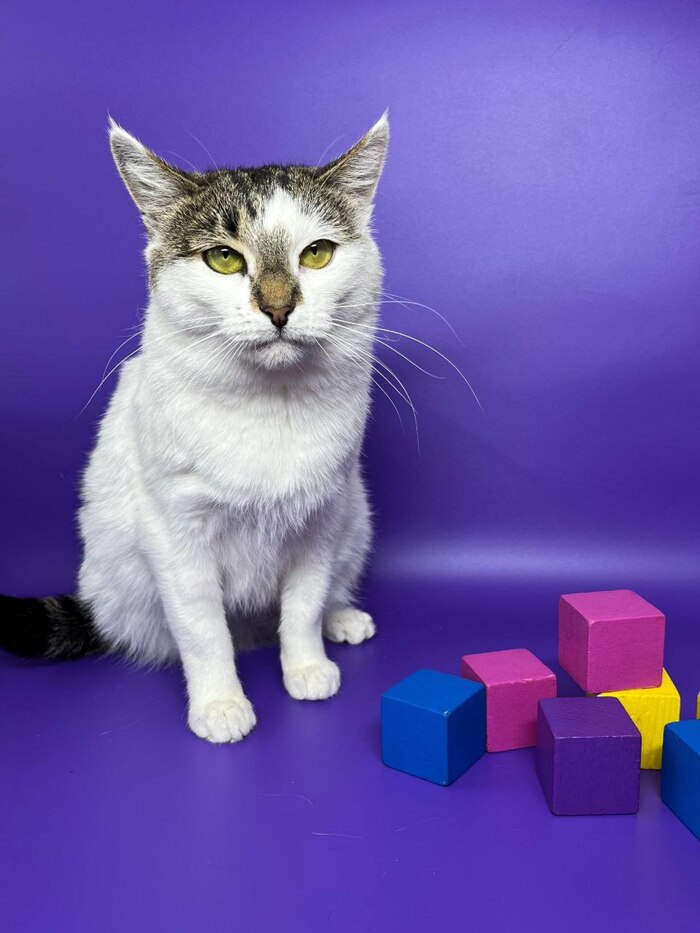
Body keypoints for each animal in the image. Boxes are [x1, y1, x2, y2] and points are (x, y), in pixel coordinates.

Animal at [0, 113, 389, 743]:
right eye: (223, 260)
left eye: (318, 253)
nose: (278, 308)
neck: (268, 406)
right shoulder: (175, 533)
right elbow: (203, 629)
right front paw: (220, 706)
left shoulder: (321, 521)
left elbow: (303, 604)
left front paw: (306, 668)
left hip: (355, 521)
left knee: (327, 590)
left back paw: (343, 617)